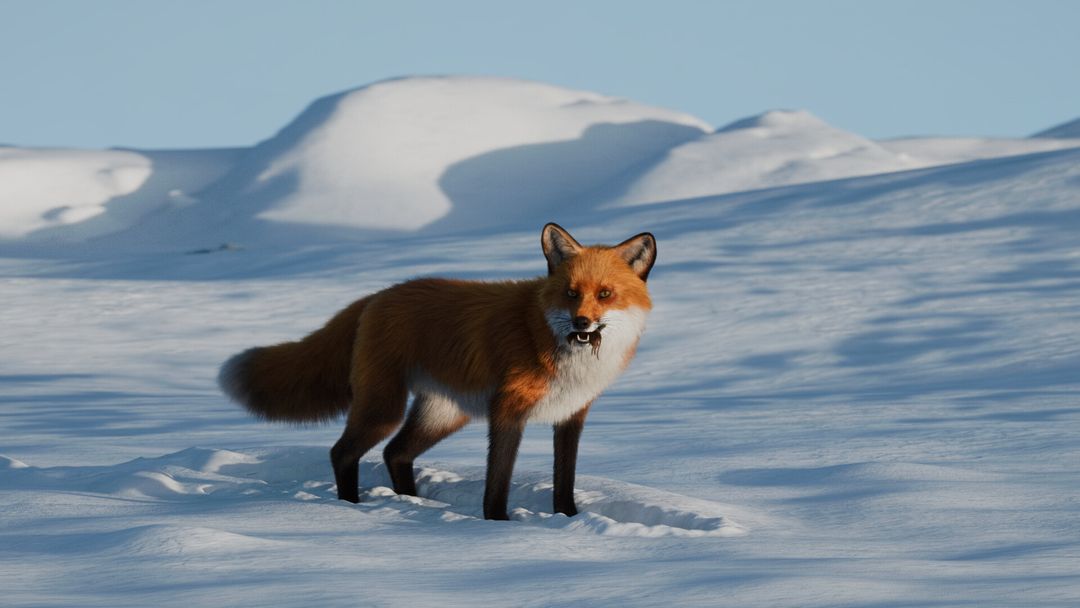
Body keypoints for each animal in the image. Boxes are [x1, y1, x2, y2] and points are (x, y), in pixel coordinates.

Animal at [218, 223, 656, 520]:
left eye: (605, 294)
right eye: (570, 293)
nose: (582, 323)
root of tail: (376, 296)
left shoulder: (571, 415)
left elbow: (564, 480)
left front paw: (568, 518)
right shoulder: (507, 410)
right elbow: (498, 479)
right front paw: (498, 524)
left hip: (443, 414)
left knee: (395, 453)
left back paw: (411, 502)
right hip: (385, 408)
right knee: (342, 452)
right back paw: (351, 507)